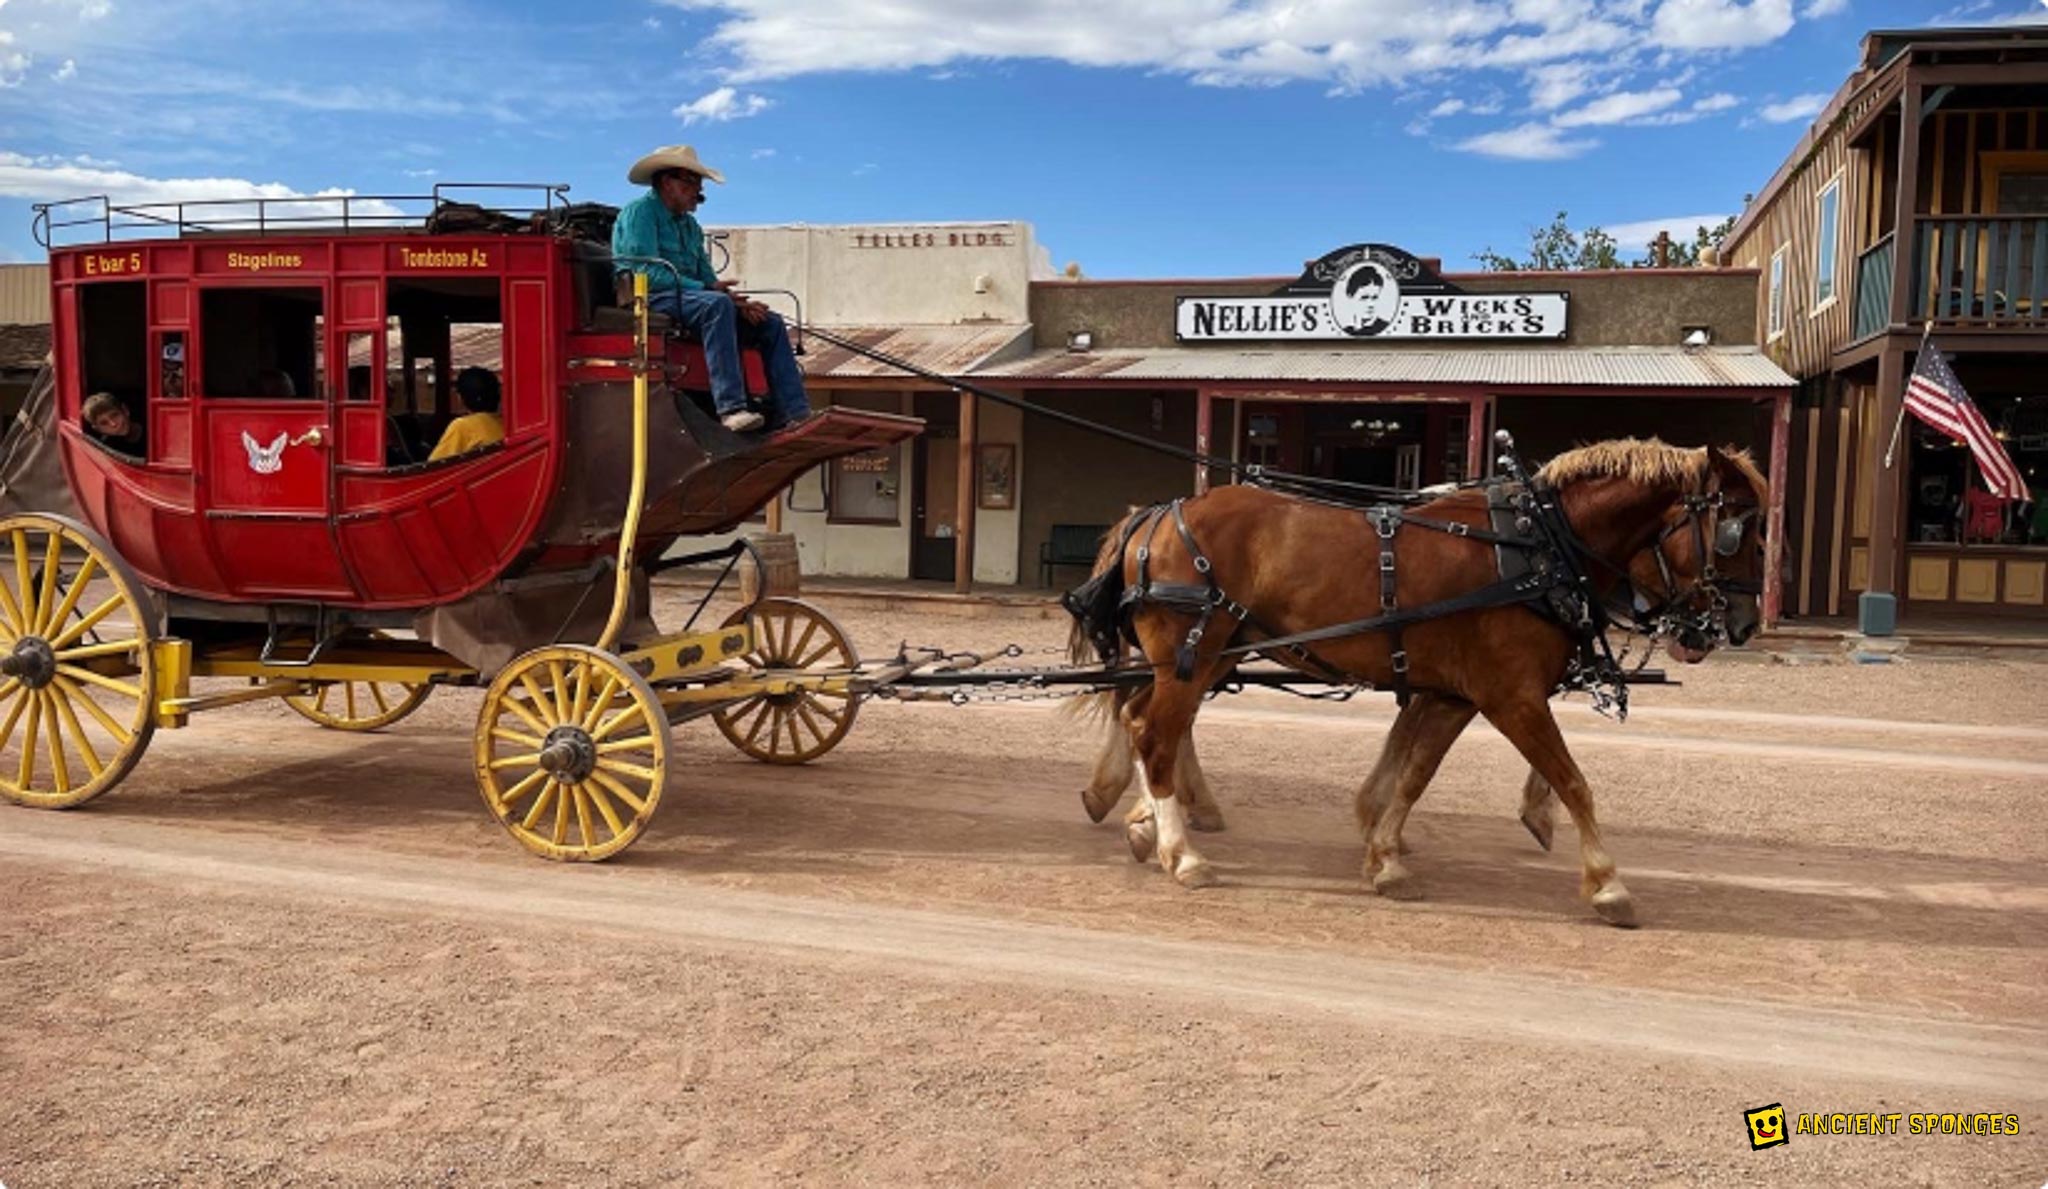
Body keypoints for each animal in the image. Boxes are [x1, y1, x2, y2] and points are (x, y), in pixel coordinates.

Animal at [1081, 439, 1769, 920]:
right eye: (1739, 530)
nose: (1740, 623)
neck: (1538, 549)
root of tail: (1157, 516)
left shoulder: (1452, 696)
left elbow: (1413, 774)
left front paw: (1384, 856)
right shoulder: (1512, 696)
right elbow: (1572, 781)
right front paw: (1607, 883)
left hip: (1212, 656)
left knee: (1145, 718)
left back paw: (1141, 818)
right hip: (1194, 653)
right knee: (1156, 732)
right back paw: (1182, 853)